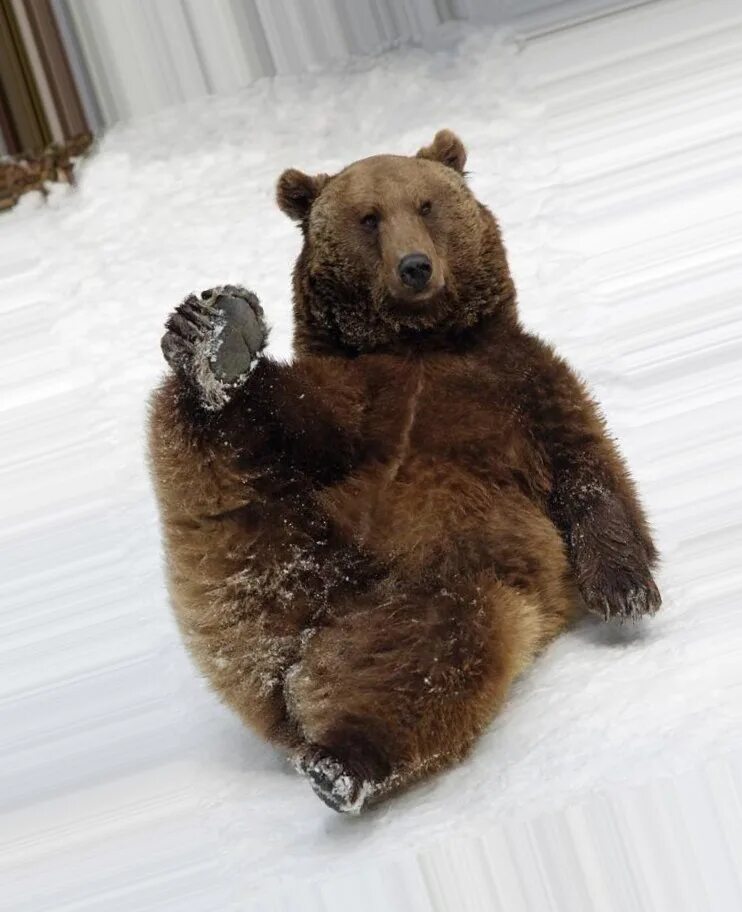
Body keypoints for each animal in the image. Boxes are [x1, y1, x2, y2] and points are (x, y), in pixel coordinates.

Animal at [148, 128, 660, 812]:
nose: (415, 266)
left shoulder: (522, 385)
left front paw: (626, 589)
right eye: (368, 217)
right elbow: (301, 416)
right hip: (278, 542)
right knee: (232, 456)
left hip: (448, 575)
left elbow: (587, 465)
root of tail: (294, 650)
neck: (421, 343)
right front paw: (216, 340)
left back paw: (345, 760)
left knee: (438, 650)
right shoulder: (357, 397)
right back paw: (210, 341)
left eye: (425, 204)